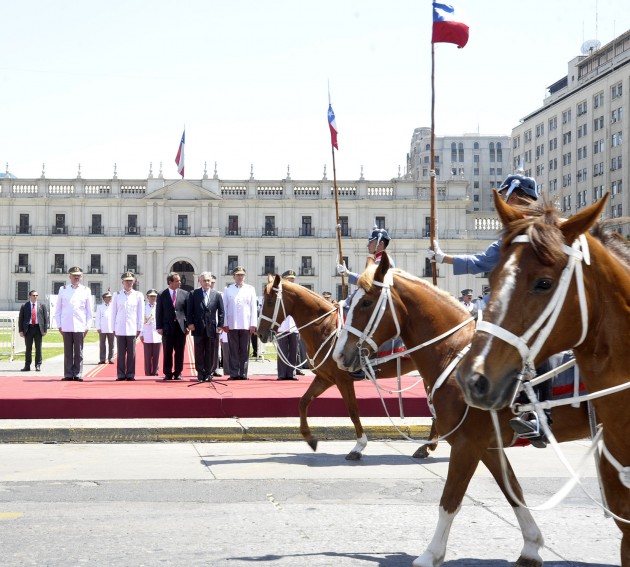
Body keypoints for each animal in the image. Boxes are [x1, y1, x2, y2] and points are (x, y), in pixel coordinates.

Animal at [256, 274, 430, 462]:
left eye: (270, 301)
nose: (260, 333)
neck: (323, 326)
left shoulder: (343, 380)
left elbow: (353, 411)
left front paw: (359, 446)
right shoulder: (325, 378)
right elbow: (303, 402)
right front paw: (310, 439)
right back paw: (426, 447)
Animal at [334, 256, 596, 567]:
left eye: (366, 302)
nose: (339, 355)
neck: (455, 354)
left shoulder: (466, 444)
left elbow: (450, 500)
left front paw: (431, 554)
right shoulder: (488, 447)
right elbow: (513, 491)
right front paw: (531, 547)